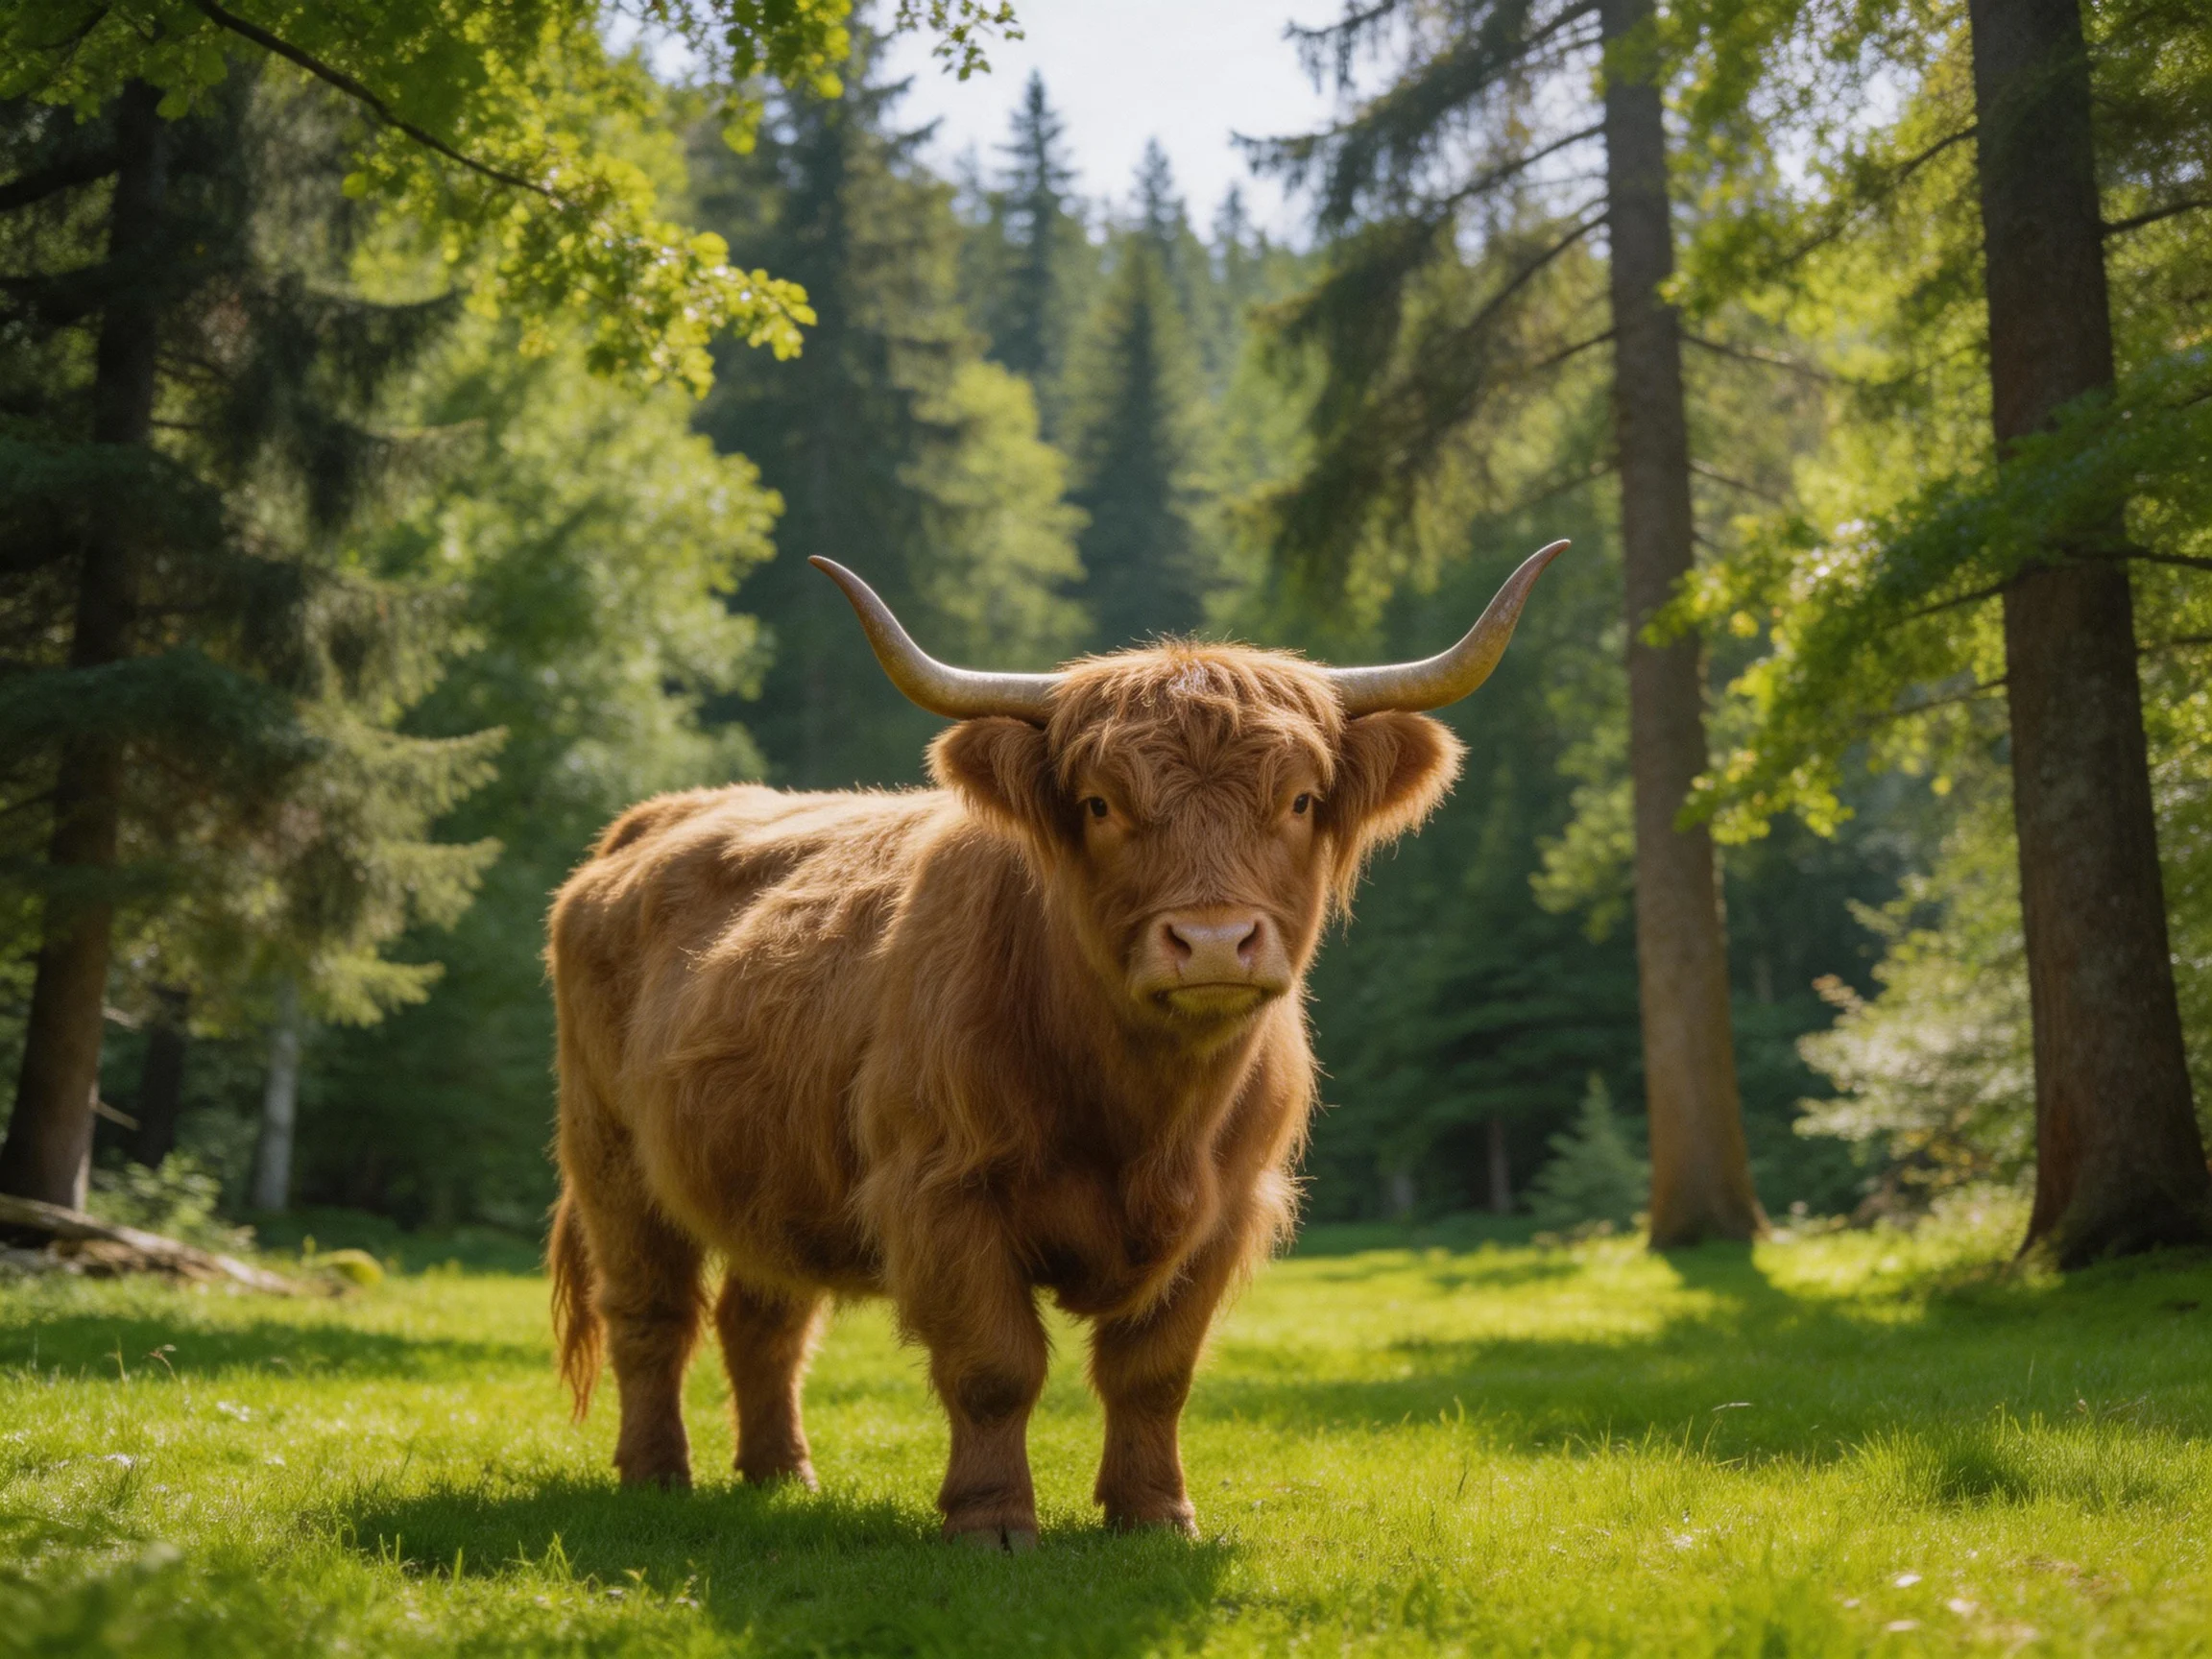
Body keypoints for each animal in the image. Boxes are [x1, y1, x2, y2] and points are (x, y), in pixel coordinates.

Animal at [546, 541, 1567, 1549]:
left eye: (1303, 800)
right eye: (1101, 804)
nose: (1211, 942)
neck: (1146, 1115)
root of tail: (648, 825)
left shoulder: (1228, 1209)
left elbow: (1155, 1371)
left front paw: (1155, 1515)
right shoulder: (944, 1190)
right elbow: (995, 1367)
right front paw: (992, 1521)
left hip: (771, 1174)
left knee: (764, 1319)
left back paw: (781, 1473)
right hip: (611, 1158)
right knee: (652, 1313)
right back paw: (656, 1476)